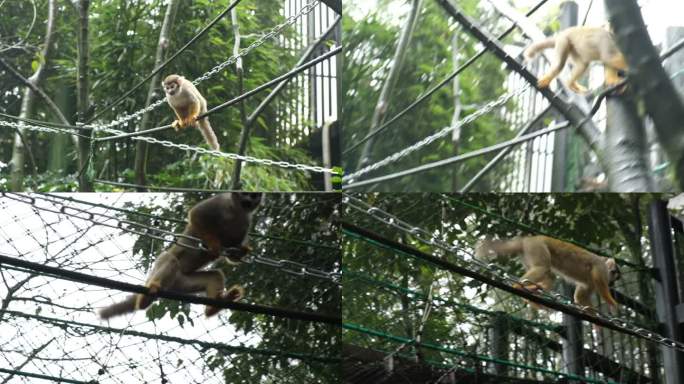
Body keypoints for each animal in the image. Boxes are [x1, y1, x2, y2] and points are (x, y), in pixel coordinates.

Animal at [97, 194, 264, 320]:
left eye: (254, 196)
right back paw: (148, 295)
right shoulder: (220, 206)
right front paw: (212, 244)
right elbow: (196, 215)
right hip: (159, 270)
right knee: (170, 259)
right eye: (244, 194)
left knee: (214, 275)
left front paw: (241, 251)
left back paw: (213, 308)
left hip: (183, 284)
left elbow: (232, 255)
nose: (249, 200)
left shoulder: (243, 224)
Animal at [476, 236, 620, 314]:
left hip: (528, 252)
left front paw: (595, 321)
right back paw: (518, 287)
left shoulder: (591, 283)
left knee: (549, 274)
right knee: (542, 267)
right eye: (613, 273)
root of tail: (527, 239)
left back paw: (535, 290)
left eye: (617, 278)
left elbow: (580, 296)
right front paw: (613, 303)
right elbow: (600, 283)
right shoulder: (600, 267)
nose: (612, 282)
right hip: (536, 246)